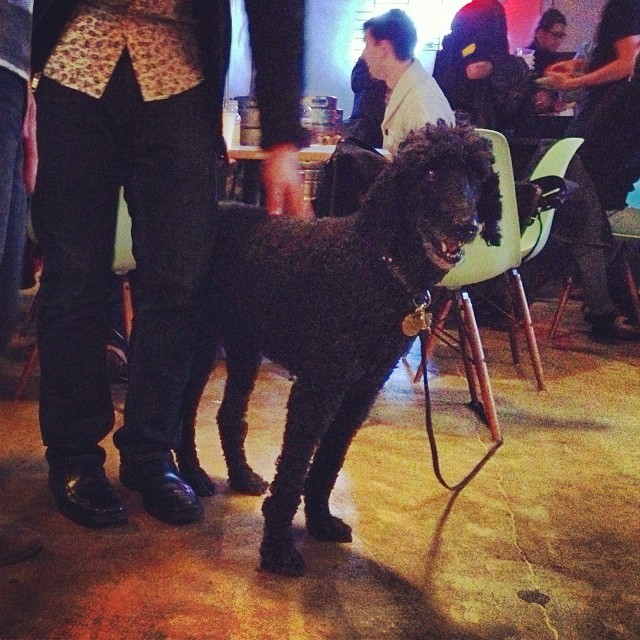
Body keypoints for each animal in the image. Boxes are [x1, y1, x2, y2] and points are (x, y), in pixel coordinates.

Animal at [177, 123, 502, 576]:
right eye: (430, 173)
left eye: (476, 175)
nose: (465, 225)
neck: (377, 267)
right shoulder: (317, 388)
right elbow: (295, 466)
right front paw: (278, 549)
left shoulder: (361, 390)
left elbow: (329, 460)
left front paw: (320, 520)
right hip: (198, 345)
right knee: (182, 413)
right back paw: (193, 476)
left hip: (245, 347)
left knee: (229, 415)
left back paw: (241, 476)